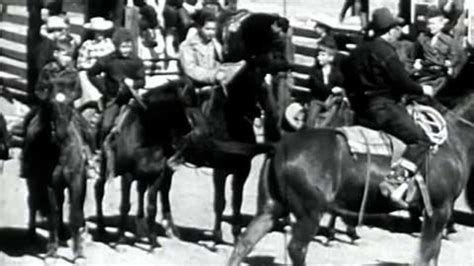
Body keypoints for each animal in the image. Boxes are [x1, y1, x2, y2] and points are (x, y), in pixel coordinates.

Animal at [22, 72, 89, 262]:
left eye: (70, 103)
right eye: (50, 104)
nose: (61, 133)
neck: (59, 150)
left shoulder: (76, 181)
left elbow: (75, 213)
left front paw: (78, 253)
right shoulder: (49, 184)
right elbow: (52, 214)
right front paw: (52, 251)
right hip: (33, 182)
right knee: (33, 203)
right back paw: (31, 236)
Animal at [93, 80, 192, 250]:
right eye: (185, 103)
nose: (189, 129)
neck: (145, 137)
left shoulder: (157, 175)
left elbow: (151, 207)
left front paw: (153, 241)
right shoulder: (127, 176)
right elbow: (125, 206)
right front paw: (121, 239)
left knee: (140, 191)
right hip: (105, 168)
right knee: (99, 189)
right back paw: (101, 228)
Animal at [229, 92, 474, 266]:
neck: (452, 142)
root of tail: (280, 146)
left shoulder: (439, 212)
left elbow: (433, 254)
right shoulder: (439, 210)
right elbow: (426, 255)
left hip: (271, 208)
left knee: (244, 244)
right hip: (309, 214)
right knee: (297, 249)